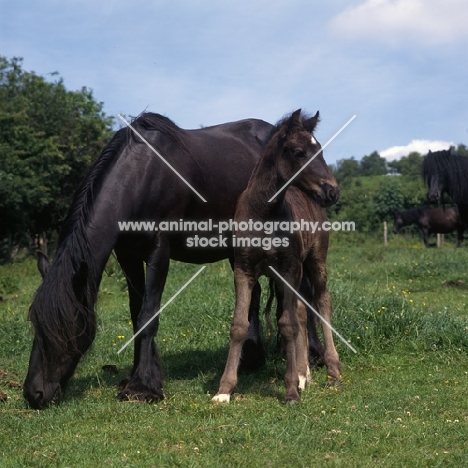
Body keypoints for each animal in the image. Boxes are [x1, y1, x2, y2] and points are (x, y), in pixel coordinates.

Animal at [22, 111, 282, 408]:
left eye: (64, 329)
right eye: (36, 324)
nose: (33, 394)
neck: (141, 176)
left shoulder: (160, 249)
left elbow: (148, 314)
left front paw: (143, 387)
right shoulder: (127, 255)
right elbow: (137, 314)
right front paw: (139, 377)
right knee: (254, 294)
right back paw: (251, 359)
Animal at [212, 109, 340, 402]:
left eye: (320, 150)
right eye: (299, 152)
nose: (332, 191)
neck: (264, 213)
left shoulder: (289, 268)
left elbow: (288, 324)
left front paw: (291, 389)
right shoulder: (244, 268)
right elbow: (239, 324)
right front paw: (224, 391)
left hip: (315, 261)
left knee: (322, 302)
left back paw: (332, 368)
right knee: (303, 311)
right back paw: (305, 375)